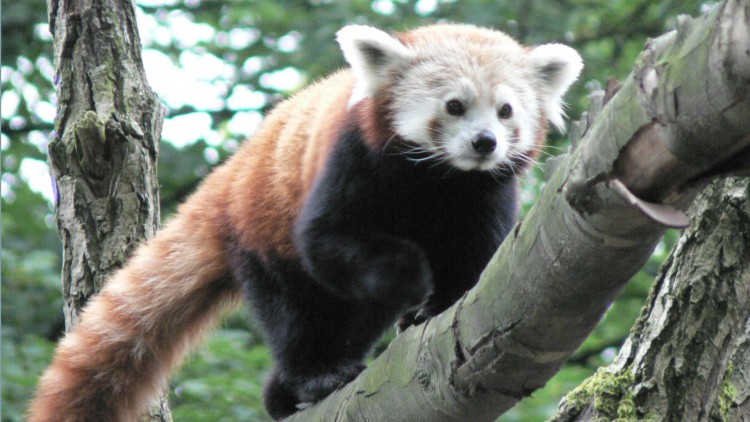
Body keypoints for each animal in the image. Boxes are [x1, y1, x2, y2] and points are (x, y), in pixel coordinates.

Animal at [29, 23, 584, 422]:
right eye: (454, 106)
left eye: (506, 110)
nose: (484, 142)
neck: (439, 178)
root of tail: (232, 173)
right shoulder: (351, 160)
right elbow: (326, 241)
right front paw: (410, 277)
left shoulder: (485, 192)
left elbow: (477, 259)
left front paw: (437, 303)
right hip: (259, 230)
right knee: (293, 311)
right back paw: (313, 377)